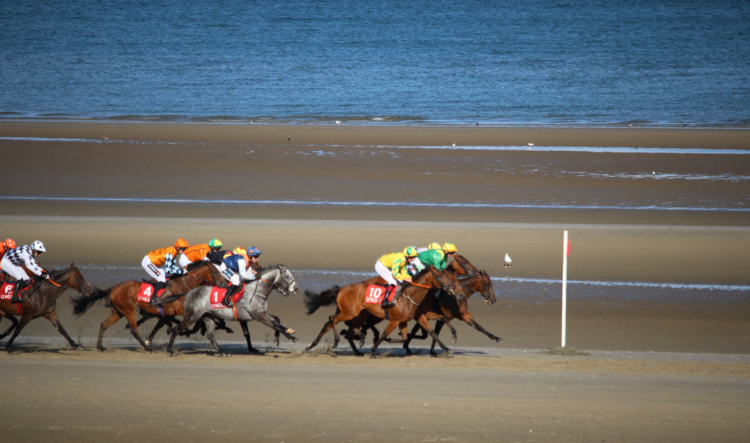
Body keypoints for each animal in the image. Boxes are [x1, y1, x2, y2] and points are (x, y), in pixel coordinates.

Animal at [72, 262, 228, 352]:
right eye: (215, 272)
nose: (224, 284)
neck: (183, 286)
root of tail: (114, 288)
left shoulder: (170, 311)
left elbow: (167, 321)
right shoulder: (174, 310)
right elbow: (173, 321)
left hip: (118, 311)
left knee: (104, 325)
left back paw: (100, 346)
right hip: (128, 309)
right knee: (133, 330)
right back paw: (147, 347)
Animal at [160, 264, 302, 358]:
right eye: (287, 276)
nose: (296, 289)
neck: (255, 290)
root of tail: (189, 292)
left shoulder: (261, 313)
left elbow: (277, 320)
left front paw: (278, 339)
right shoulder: (257, 315)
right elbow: (274, 324)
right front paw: (292, 338)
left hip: (208, 316)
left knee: (210, 336)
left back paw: (223, 352)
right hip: (192, 316)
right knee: (177, 329)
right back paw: (170, 350)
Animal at [302, 268, 468, 358]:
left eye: (452, 278)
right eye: (440, 276)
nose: (459, 294)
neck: (410, 296)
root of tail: (342, 288)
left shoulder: (413, 317)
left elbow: (430, 331)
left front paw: (447, 346)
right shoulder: (395, 320)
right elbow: (383, 335)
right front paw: (373, 351)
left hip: (358, 313)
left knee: (338, 326)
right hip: (351, 312)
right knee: (333, 319)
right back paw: (337, 341)